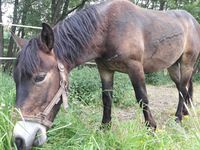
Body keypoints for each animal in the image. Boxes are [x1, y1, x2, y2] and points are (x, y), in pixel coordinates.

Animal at [12, 0, 200, 149]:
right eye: (15, 79)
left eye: (40, 77)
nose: (20, 139)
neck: (108, 26)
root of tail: (192, 21)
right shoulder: (105, 69)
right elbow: (107, 99)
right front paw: (104, 128)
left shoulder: (135, 67)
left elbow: (142, 98)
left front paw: (151, 130)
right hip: (173, 66)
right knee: (182, 88)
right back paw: (184, 113)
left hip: (186, 64)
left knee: (183, 90)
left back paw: (178, 119)